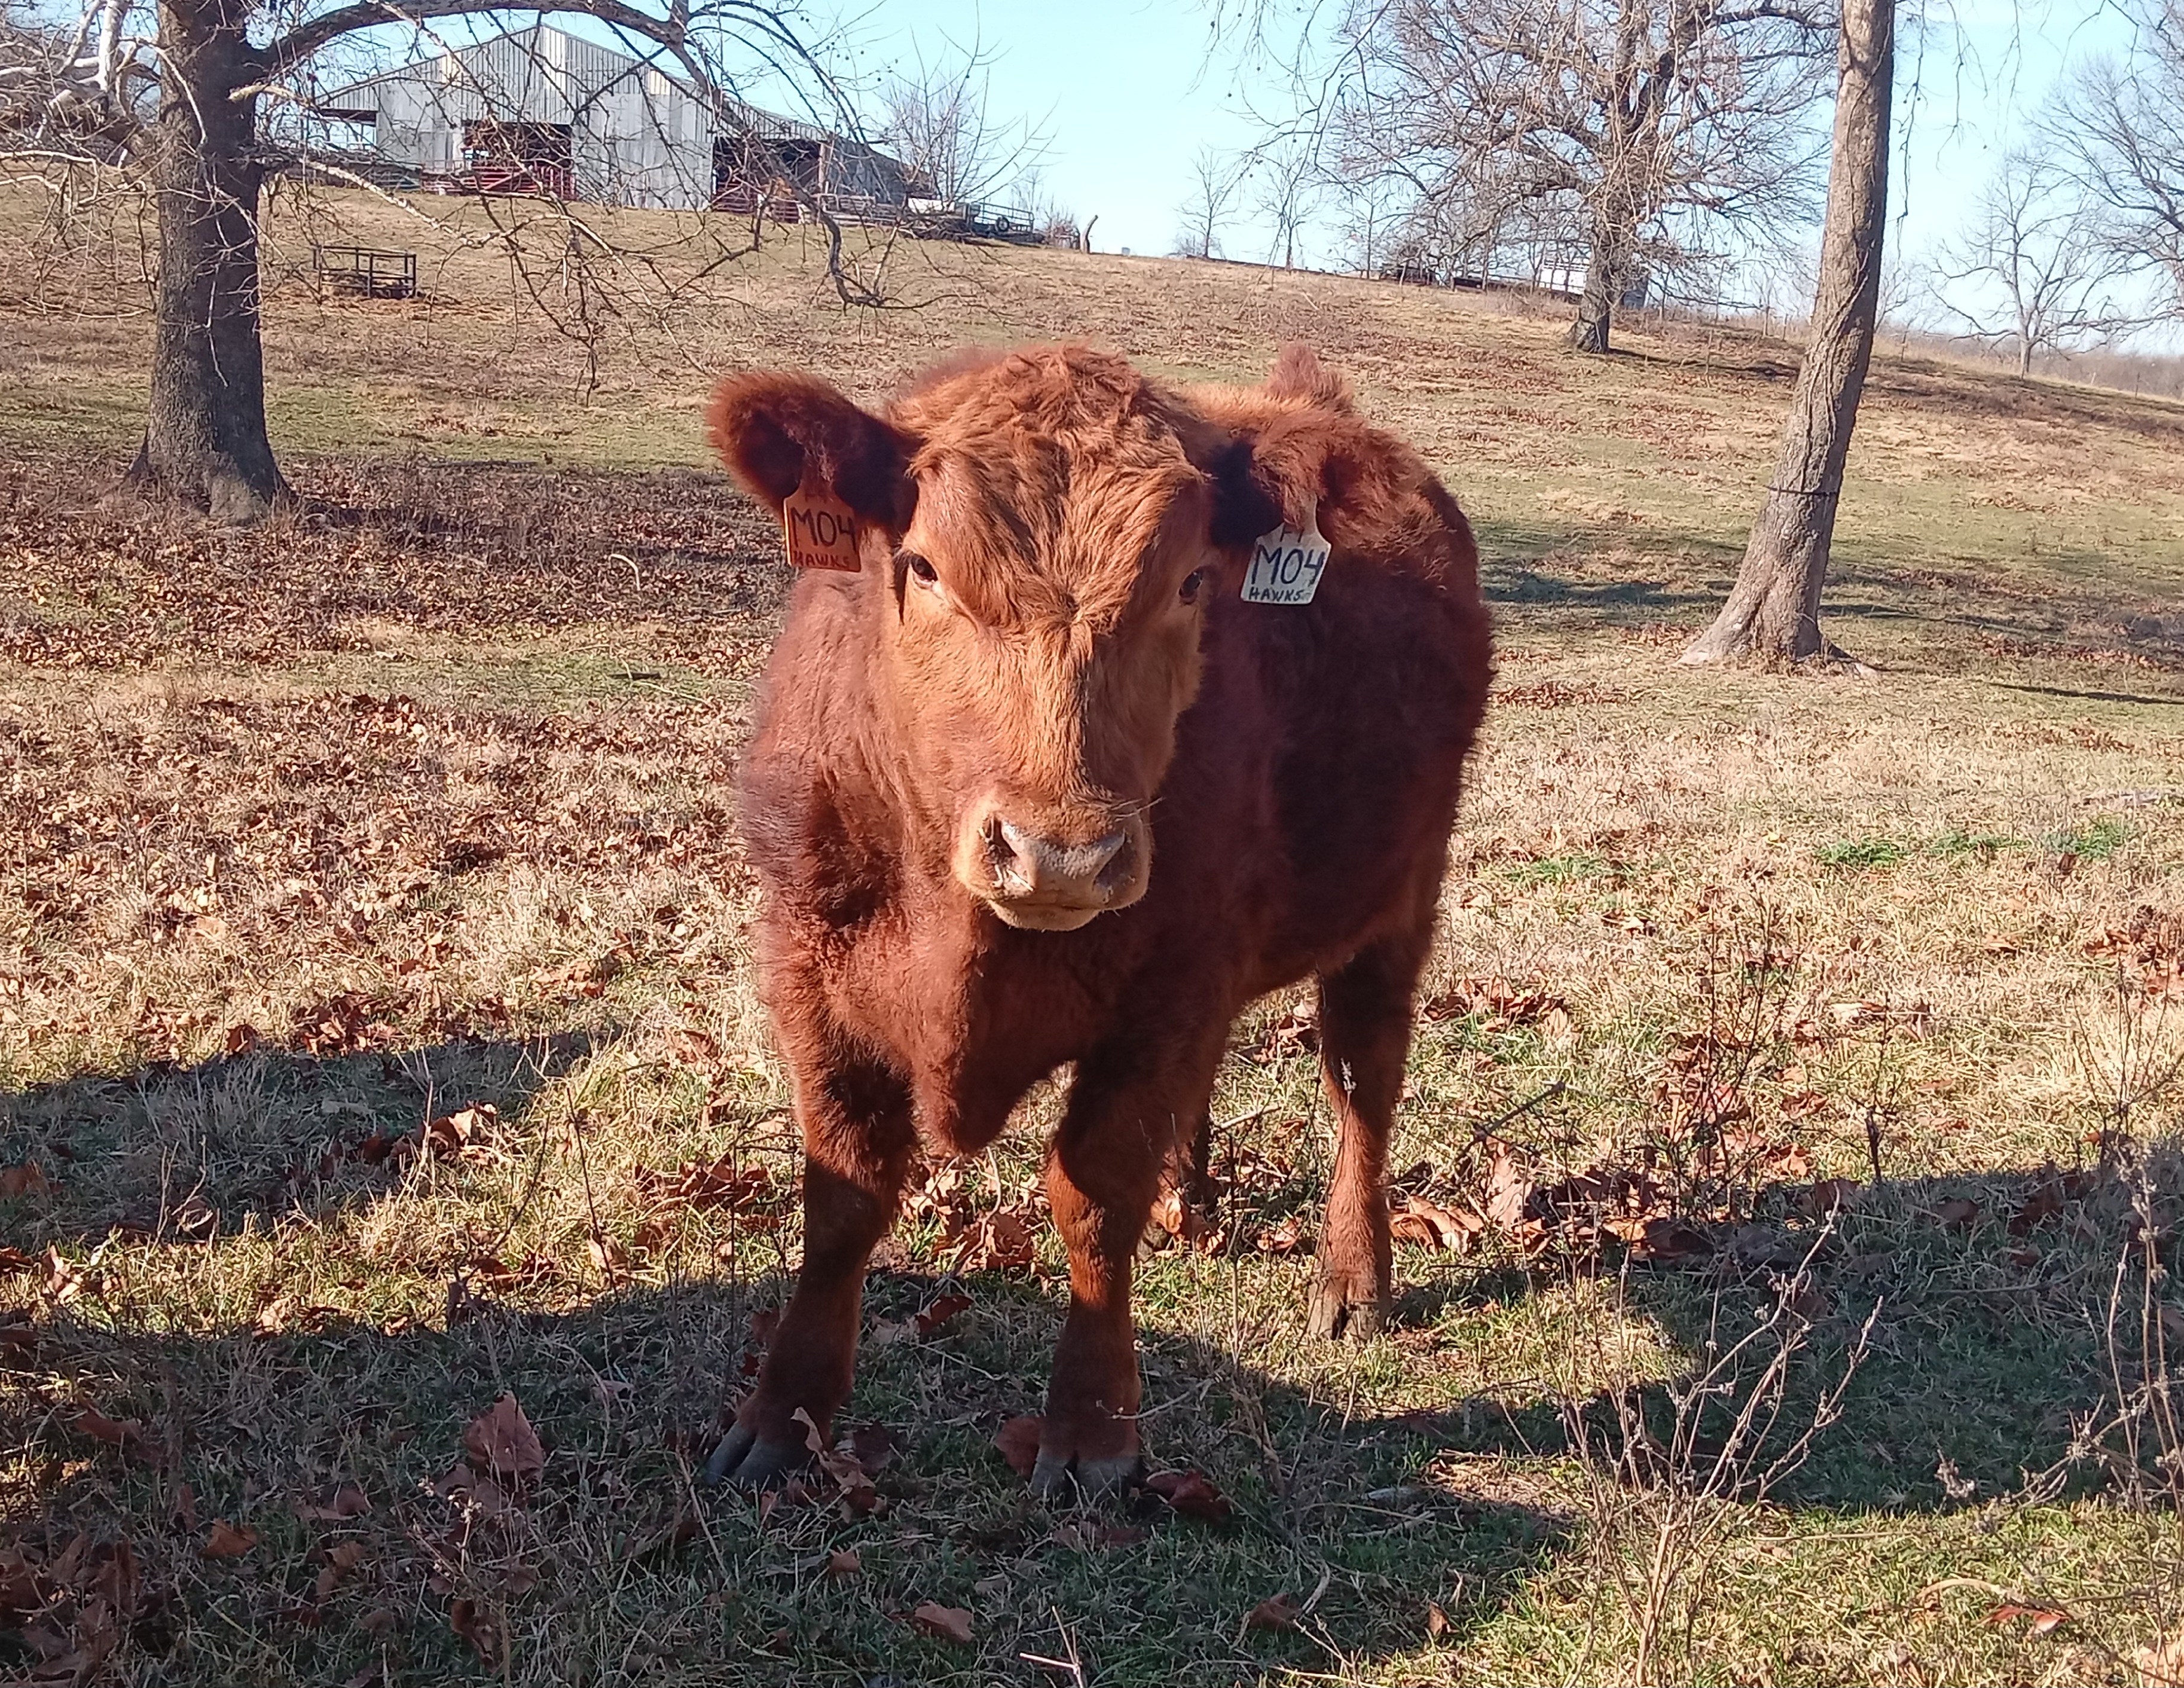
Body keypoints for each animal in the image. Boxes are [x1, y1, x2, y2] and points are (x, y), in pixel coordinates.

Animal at [702, 343, 1490, 1495]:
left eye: (1191, 580)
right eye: (925, 567)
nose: (1062, 852)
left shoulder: (1172, 984)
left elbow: (1092, 1192)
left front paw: (1091, 1428)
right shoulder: (808, 965)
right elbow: (842, 1189)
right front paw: (781, 1414)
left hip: (1399, 898)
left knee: (1361, 1077)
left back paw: (1352, 1276)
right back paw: (1192, 1199)